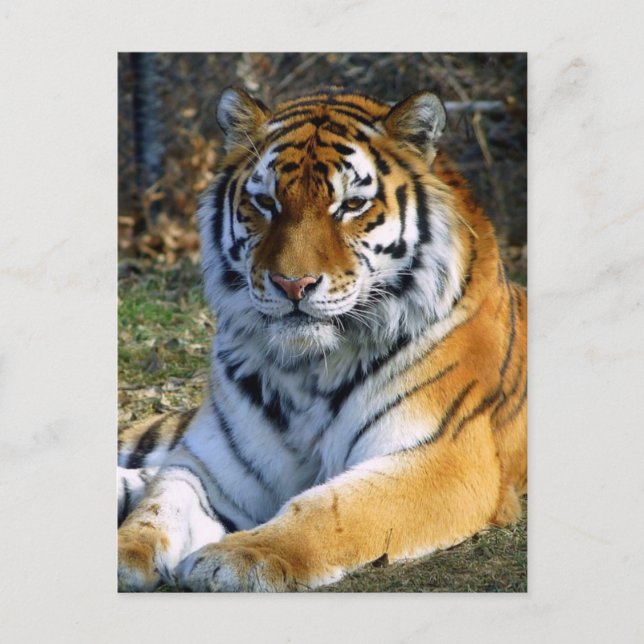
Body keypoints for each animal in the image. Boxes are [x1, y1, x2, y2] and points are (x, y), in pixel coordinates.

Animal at [117, 87, 527, 592]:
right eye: (266, 202)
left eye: (351, 205)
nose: (293, 284)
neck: (309, 369)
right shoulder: (211, 464)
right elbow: (160, 506)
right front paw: (124, 549)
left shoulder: (443, 459)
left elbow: (329, 508)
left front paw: (239, 557)